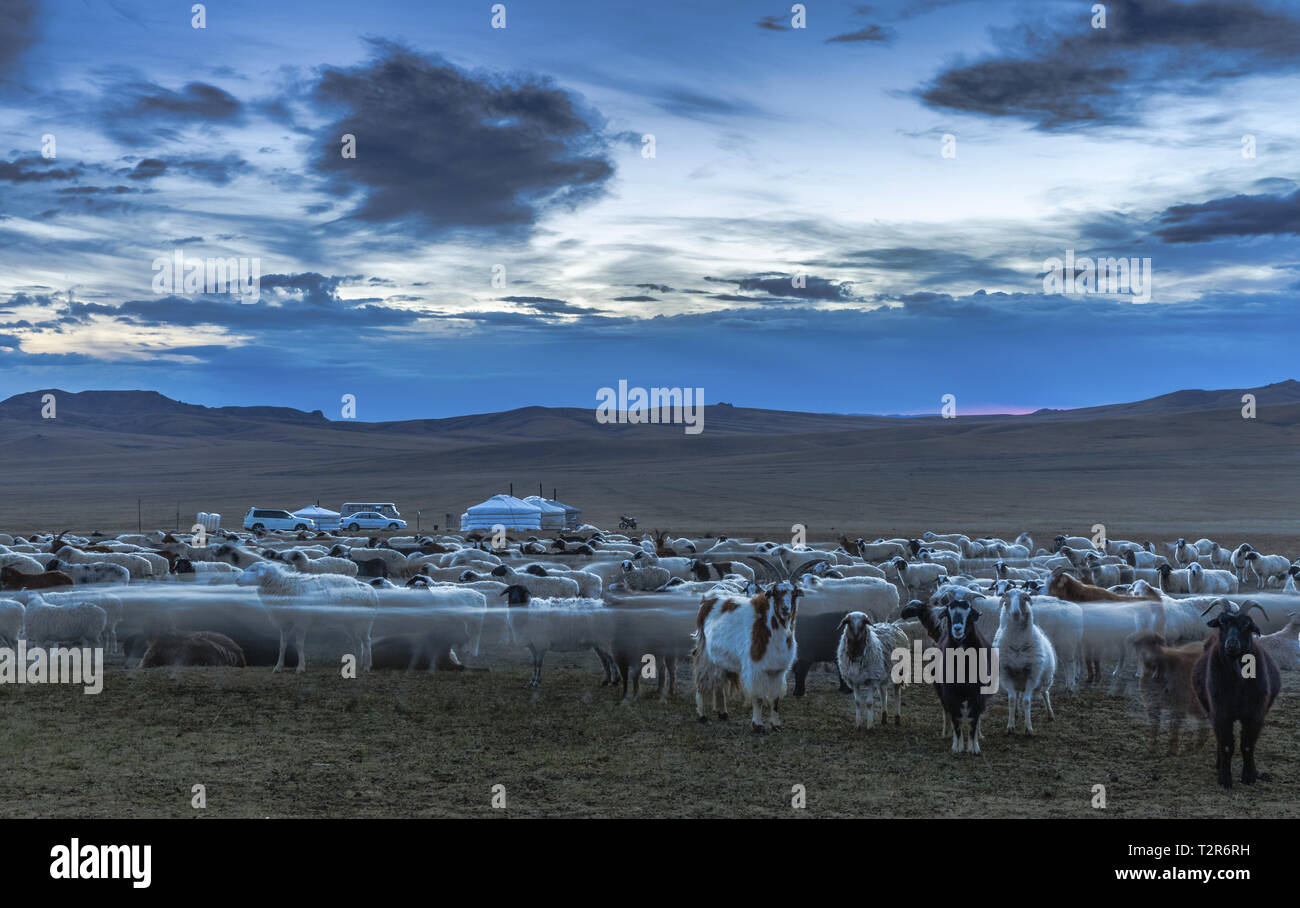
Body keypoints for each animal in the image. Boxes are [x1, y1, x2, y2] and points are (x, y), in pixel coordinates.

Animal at [236, 561, 379, 666]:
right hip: (349, 624)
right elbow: (282, 646)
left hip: (364, 622)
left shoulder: (301, 622)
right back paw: (358, 665)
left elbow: (299, 645)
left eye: (253, 570)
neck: (283, 586)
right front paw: (278, 667)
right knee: (357, 643)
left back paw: (367, 666)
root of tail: (370, 589)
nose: (237, 579)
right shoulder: (285, 623)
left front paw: (300, 667)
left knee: (366, 642)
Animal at [993, 590, 1055, 733]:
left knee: (1045, 693)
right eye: (1006, 601)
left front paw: (1028, 728)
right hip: (1019, 681)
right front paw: (1010, 726)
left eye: (1024, 599)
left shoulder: (1033, 675)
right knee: (1018, 696)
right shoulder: (1006, 673)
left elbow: (1027, 701)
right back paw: (1016, 713)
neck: (1017, 643)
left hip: (1045, 678)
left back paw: (1050, 714)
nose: (1015, 613)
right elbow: (1011, 700)